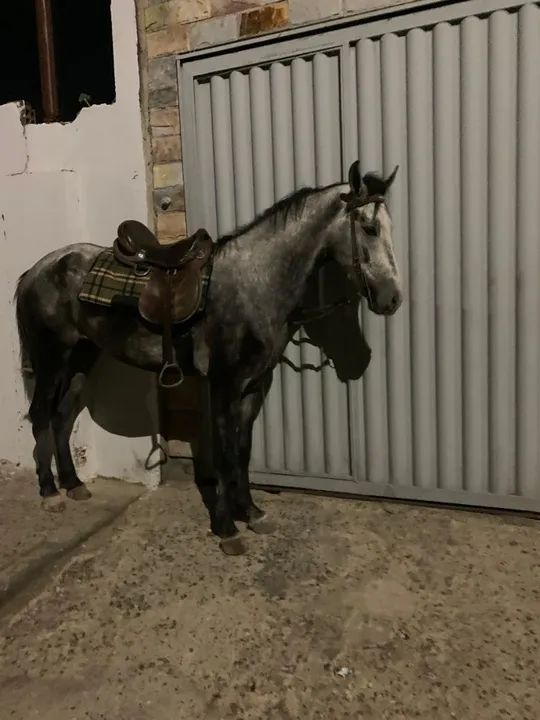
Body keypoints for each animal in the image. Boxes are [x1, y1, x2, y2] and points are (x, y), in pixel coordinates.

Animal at [15, 161, 402, 554]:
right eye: (369, 228)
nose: (392, 298)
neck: (254, 283)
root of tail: (38, 269)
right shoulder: (224, 386)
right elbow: (224, 454)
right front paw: (227, 528)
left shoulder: (254, 387)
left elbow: (242, 451)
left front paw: (252, 513)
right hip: (52, 360)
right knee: (41, 414)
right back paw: (50, 492)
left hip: (81, 359)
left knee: (62, 417)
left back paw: (74, 485)